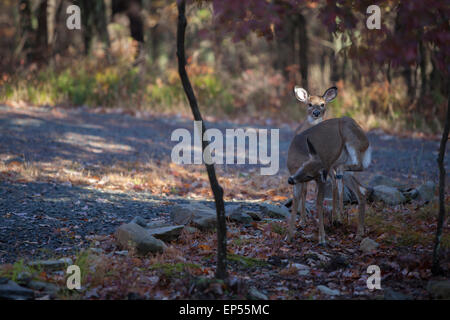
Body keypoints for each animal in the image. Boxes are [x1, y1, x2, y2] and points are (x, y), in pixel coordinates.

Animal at [286, 117, 370, 245]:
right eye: (303, 165)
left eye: (310, 176)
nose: (290, 180)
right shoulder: (298, 179)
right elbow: (295, 201)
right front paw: (289, 236)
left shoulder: (320, 180)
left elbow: (319, 202)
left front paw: (322, 238)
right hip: (344, 167)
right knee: (361, 190)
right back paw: (359, 233)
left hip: (352, 139)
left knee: (360, 167)